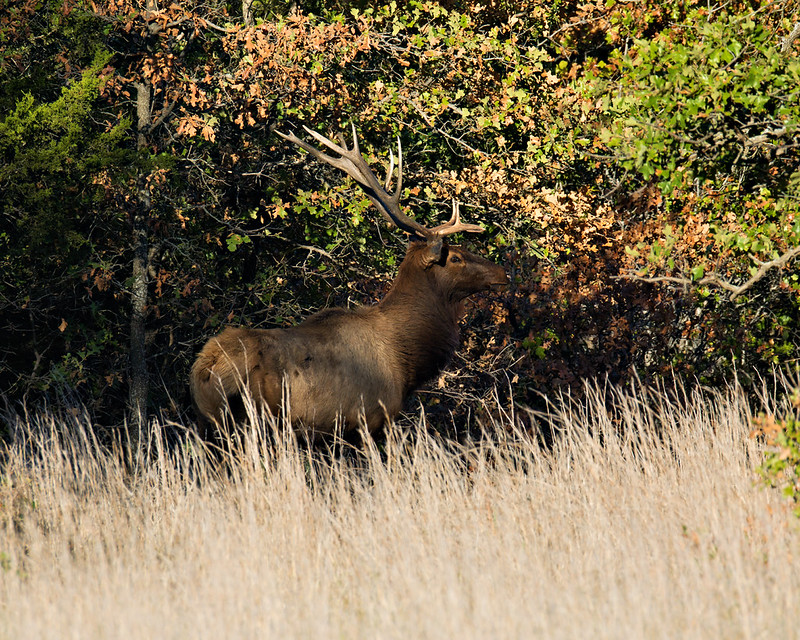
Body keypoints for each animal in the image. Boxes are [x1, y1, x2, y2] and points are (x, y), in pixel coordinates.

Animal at [190, 125, 508, 441]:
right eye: (455, 257)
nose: (502, 273)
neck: (406, 359)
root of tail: (205, 369)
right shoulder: (370, 420)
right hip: (254, 420)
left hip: (208, 424)